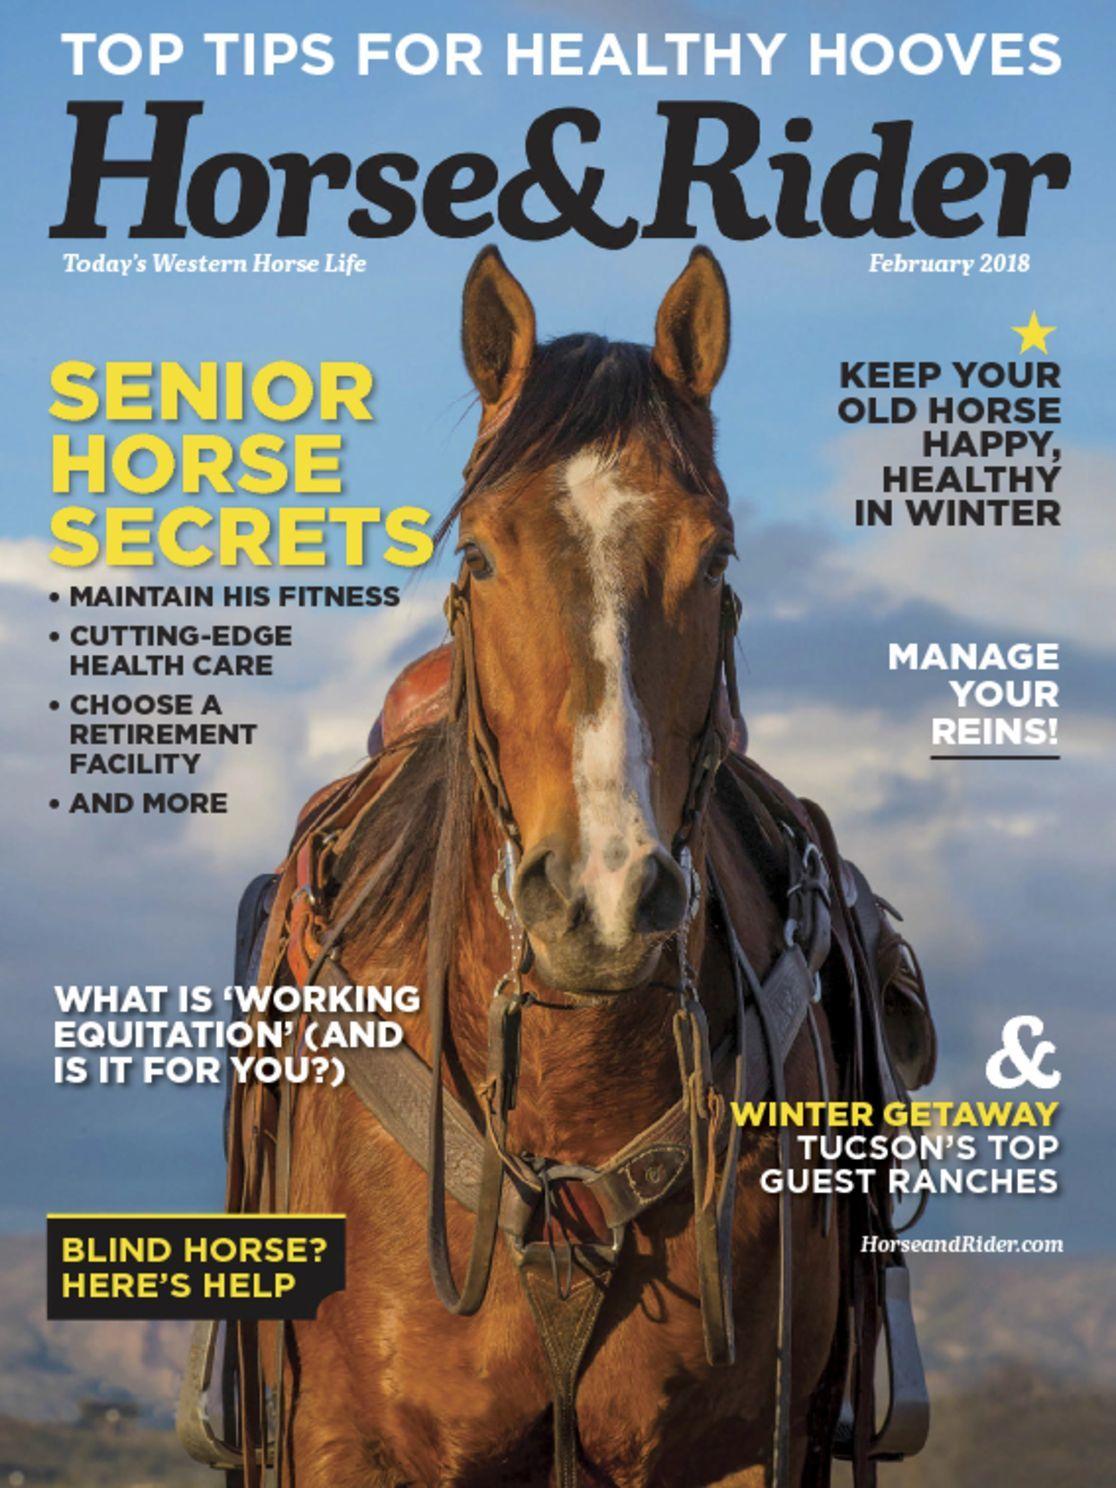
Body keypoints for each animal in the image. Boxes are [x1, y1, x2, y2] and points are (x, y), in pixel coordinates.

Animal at [216, 246, 935, 1488]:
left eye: (717, 553)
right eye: (476, 551)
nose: (603, 901)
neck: (568, 1092)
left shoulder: (740, 1449)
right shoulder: (341, 1444)